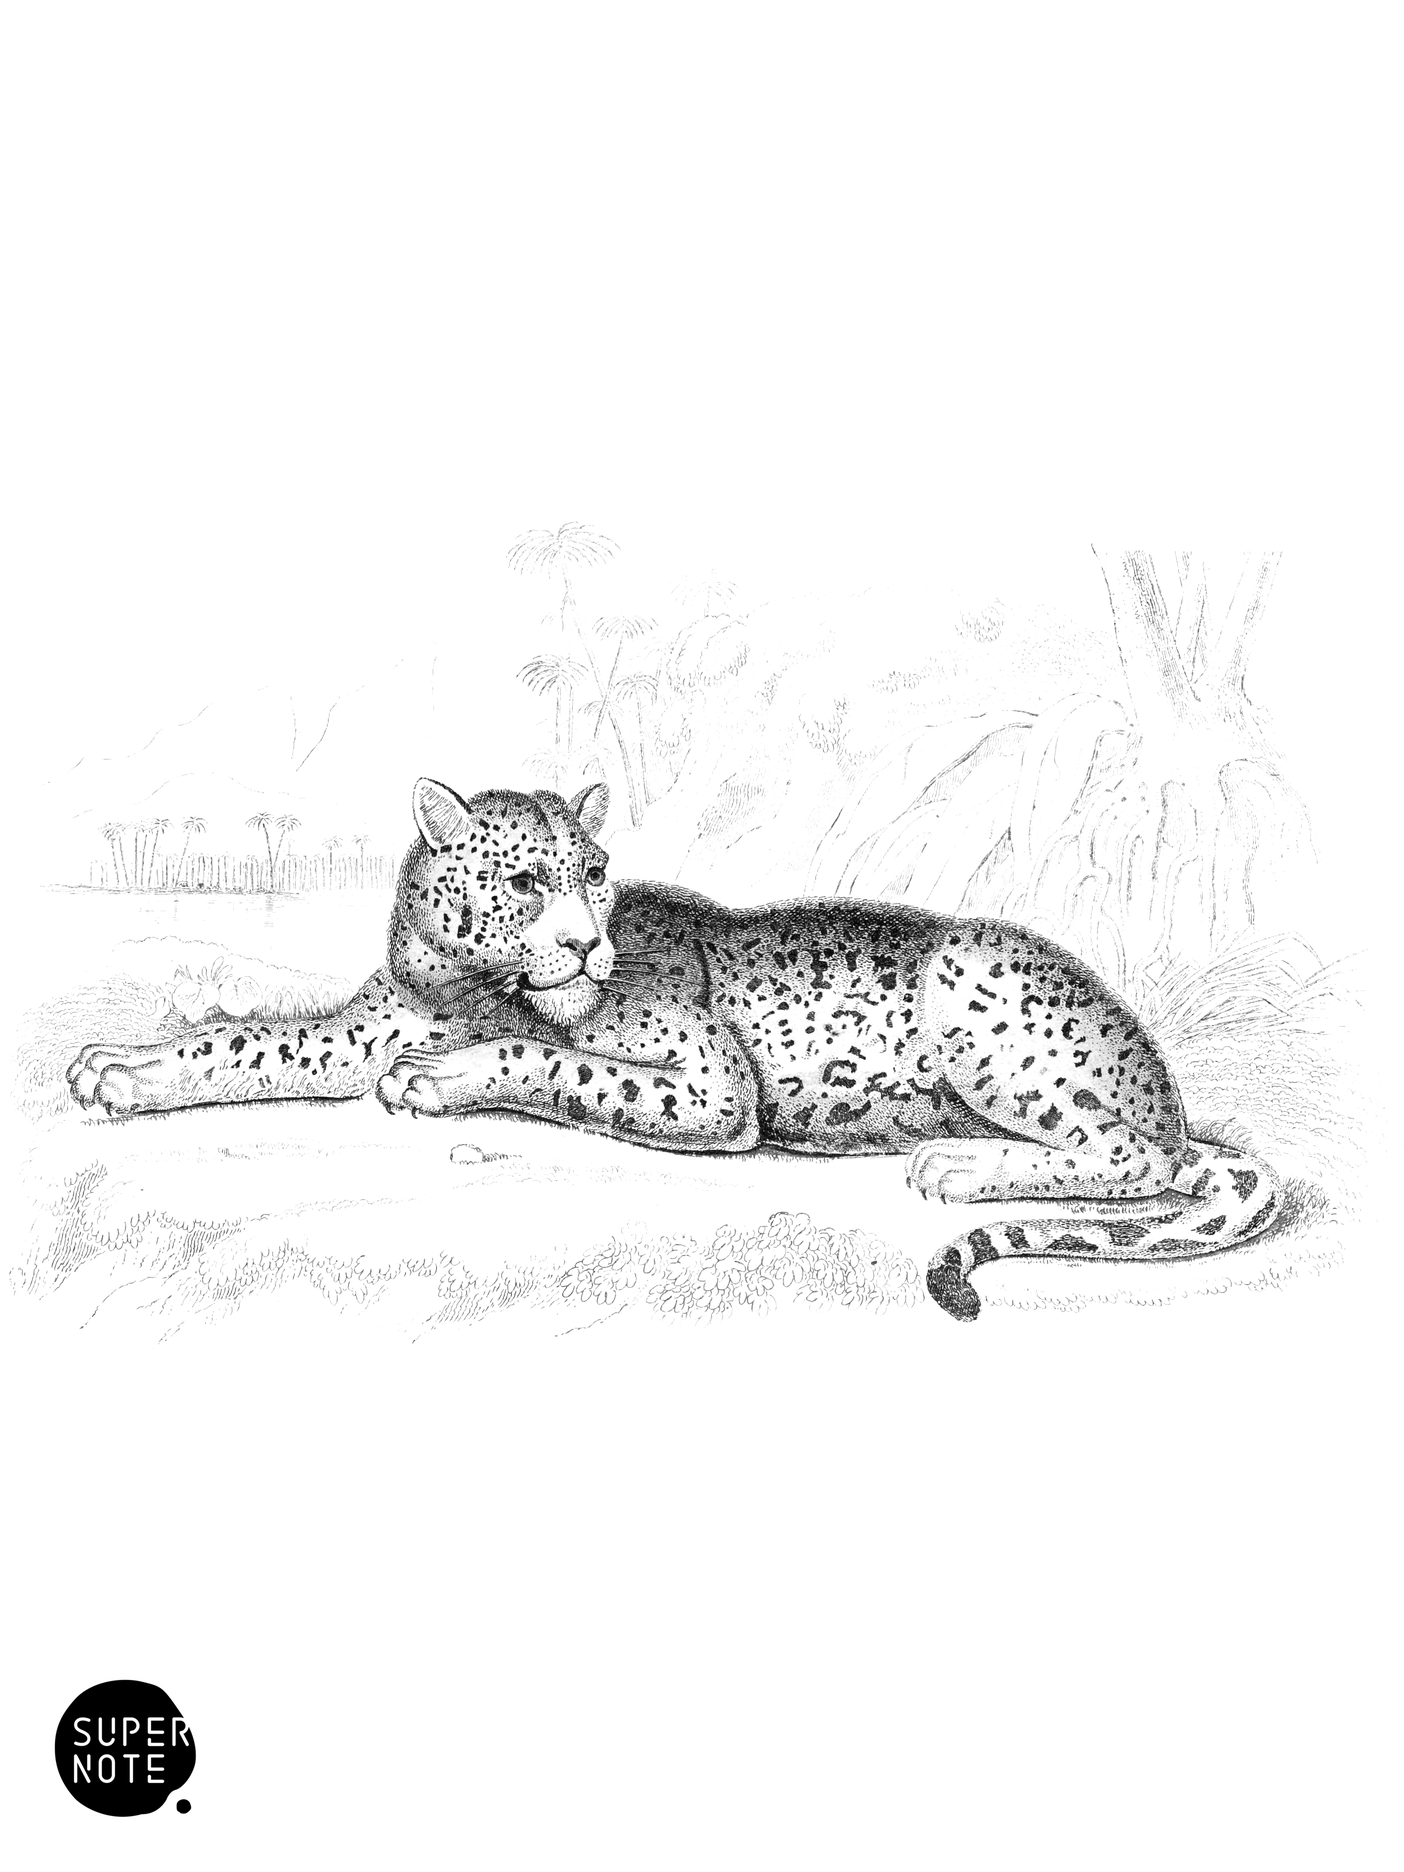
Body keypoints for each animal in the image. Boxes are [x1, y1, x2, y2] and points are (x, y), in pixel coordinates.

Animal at [67, 777, 1282, 1319]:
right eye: (526, 881)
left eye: (597, 872)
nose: (585, 941)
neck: (465, 981)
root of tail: (1163, 1080)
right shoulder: (367, 1025)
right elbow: (248, 1043)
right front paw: (123, 1070)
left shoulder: (716, 1090)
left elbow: (558, 1065)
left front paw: (448, 1079)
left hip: (981, 1006)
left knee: (1136, 1153)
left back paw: (960, 1161)